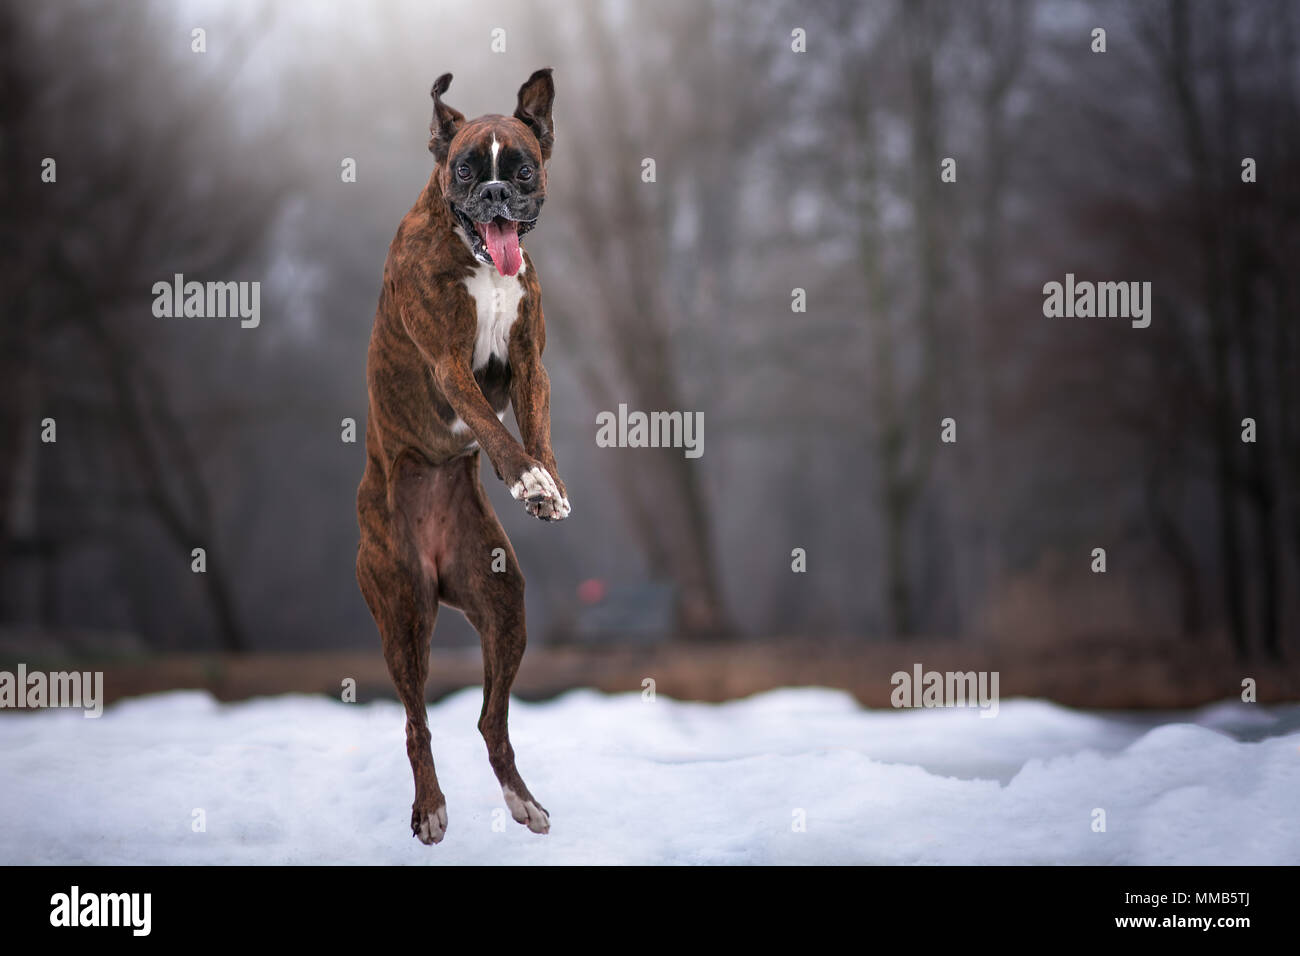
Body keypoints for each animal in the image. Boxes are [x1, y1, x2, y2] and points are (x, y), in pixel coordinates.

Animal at [361, 69, 574, 842]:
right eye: (462, 170)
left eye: (521, 169)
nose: (496, 194)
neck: (480, 261)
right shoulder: (451, 368)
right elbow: (495, 429)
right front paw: (529, 482)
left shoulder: (529, 363)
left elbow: (534, 426)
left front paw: (548, 483)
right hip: (403, 615)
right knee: (417, 723)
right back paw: (429, 808)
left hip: (502, 602)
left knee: (489, 720)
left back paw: (523, 801)